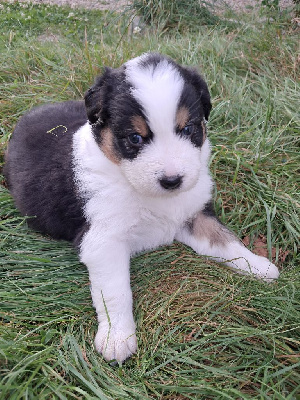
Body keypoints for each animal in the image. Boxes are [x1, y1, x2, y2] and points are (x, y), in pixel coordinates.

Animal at [3, 53, 278, 362]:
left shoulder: (194, 213)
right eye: (135, 138)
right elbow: (115, 291)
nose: (172, 180)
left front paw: (258, 266)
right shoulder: (103, 241)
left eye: (188, 129)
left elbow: (224, 240)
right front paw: (116, 338)